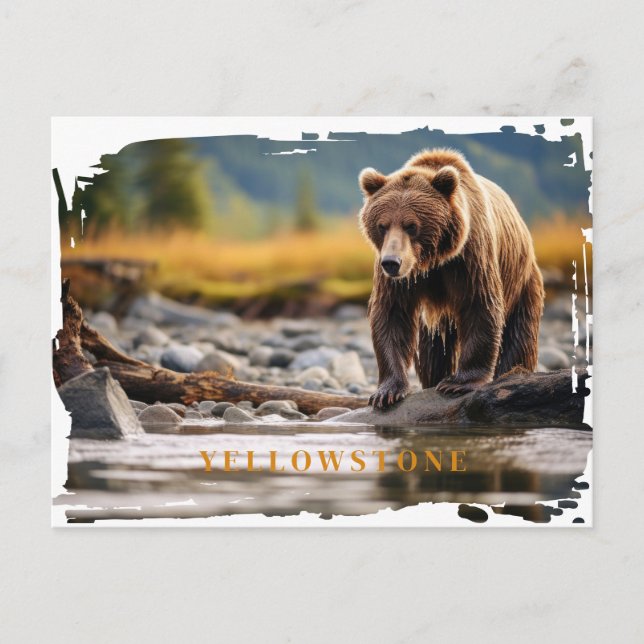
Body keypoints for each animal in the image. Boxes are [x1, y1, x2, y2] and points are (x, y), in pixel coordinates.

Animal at [358, 148, 544, 408]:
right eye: (382, 225)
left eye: (411, 225)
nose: (392, 262)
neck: (433, 260)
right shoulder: (401, 279)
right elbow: (391, 314)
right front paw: (387, 391)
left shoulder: (471, 256)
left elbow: (480, 305)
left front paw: (459, 383)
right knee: (432, 351)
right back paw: (433, 379)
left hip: (523, 281)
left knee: (519, 335)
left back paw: (513, 373)